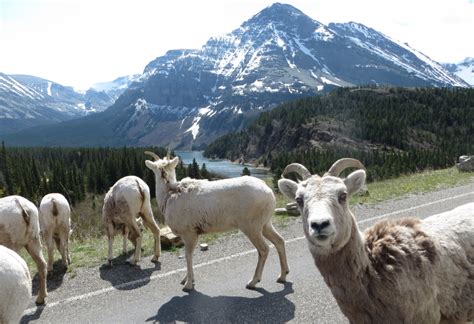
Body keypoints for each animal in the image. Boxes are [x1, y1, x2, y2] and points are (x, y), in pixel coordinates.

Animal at [143, 151, 288, 292]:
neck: (169, 197)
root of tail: (269, 192)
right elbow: (190, 256)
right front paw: (186, 280)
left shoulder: (189, 234)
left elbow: (188, 256)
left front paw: (188, 285)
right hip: (265, 224)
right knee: (279, 241)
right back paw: (282, 276)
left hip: (251, 227)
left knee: (264, 249)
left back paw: (252, 282)